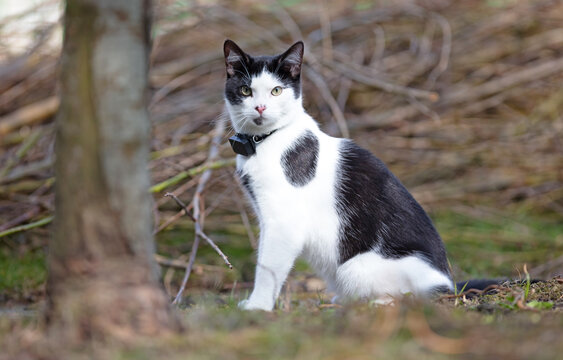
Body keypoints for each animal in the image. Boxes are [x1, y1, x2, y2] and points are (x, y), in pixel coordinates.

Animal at [224, 38, 454, 310]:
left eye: (276, 91)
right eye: (245, 90)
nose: (260, 107)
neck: (264, 142)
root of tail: (447, 284)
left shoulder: (283, 223)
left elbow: (267, 268)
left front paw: (257, 307)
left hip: (355, 267)